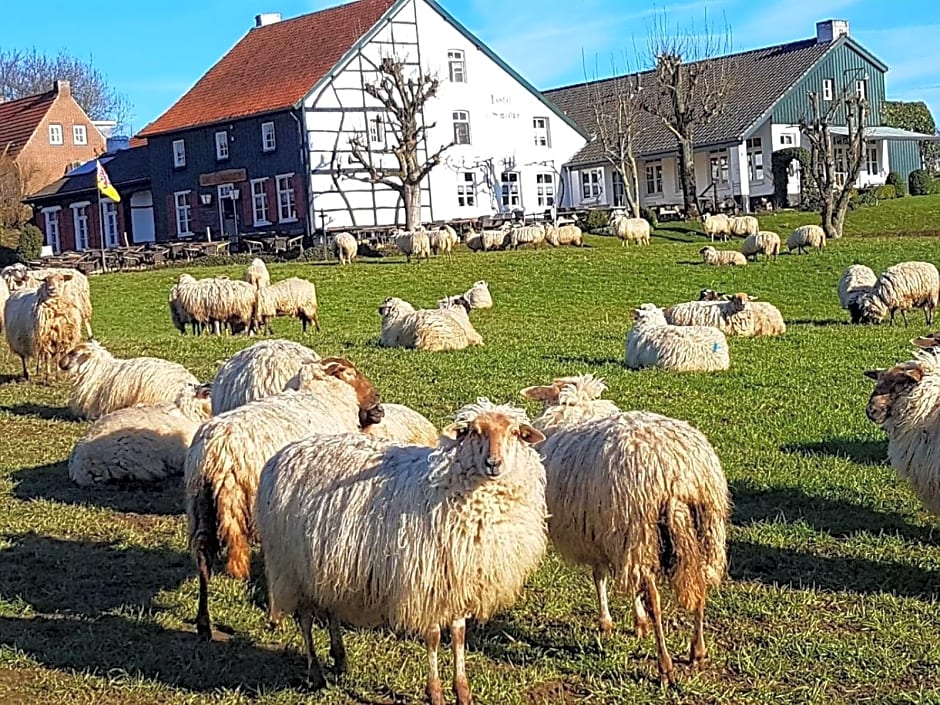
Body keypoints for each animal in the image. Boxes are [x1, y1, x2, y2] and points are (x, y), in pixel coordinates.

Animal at [184, 358, 382, 640]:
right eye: (351, 373)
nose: (378, 401)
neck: (322, 396)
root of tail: (218, 452)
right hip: (261, 507)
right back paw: (274, 616)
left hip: (199, 506)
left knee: (203, 558)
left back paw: (204, 624)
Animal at [255, 396, 552, 700]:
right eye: (473, 432)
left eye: (515, 433)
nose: (494, 463)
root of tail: (283, 454)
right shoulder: (427, 581)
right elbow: (433, 637)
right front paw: (435, 693)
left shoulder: (458, 580)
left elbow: (458, 635)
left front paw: (462, 691)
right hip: (291, 563)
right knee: (305, 618)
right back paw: (315, 672)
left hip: (327, 563)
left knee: (329, 609)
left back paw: (339, 660)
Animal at [520, 376, 728, 684]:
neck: (575, 410)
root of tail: (676, 470)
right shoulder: (612, 535)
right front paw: (636, 623)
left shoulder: (600, 536)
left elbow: (600, 577)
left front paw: (608, 623)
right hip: (706, 527)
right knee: (700, 580)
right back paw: (697, 651)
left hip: (640, 527)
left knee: (654, 597)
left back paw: (665, 665)